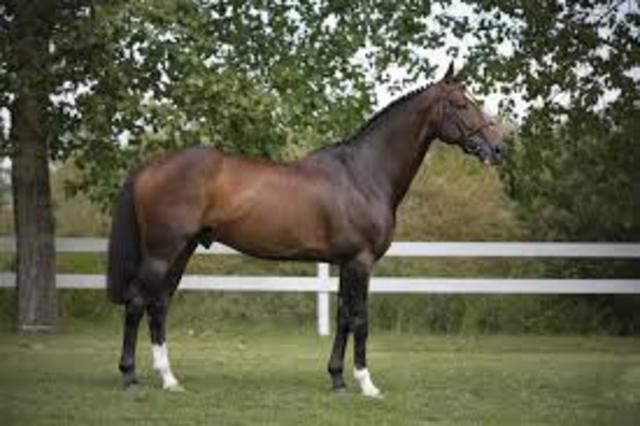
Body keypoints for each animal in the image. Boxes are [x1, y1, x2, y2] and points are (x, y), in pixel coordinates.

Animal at [107, 62, 504, 397]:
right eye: (460, 104)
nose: (498, 148)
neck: (363, 174)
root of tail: (149, 165)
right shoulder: (361, 261)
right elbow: (360, 319)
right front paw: (367, 384)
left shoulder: (346, 262)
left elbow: (343, 318)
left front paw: (338, 379)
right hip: (162, 252)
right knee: (137, 303)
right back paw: (129, 376)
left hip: (183, 249)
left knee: (159, 305)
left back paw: (169, 379)